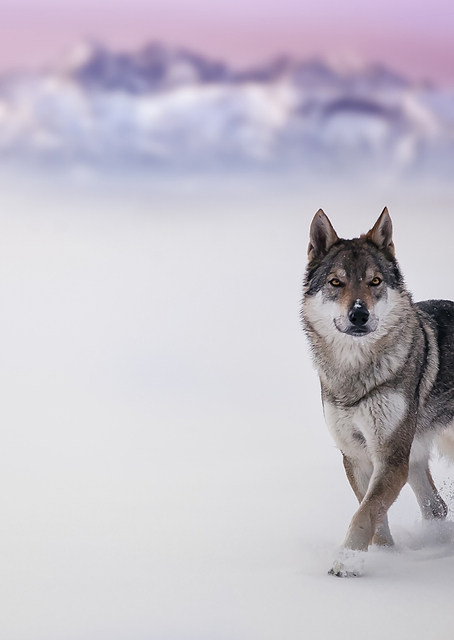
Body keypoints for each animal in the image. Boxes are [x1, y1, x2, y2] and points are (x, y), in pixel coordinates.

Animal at [301, 207, 454, 576]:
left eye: (375, 282)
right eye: (336, 282)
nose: (359, 314)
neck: (356, 375)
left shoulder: (390, 456)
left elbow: (365, 513)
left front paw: (344, 563)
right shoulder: (357, 455)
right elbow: (374, 515)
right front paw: (385, 556)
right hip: (414, 456)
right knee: (437, 507)